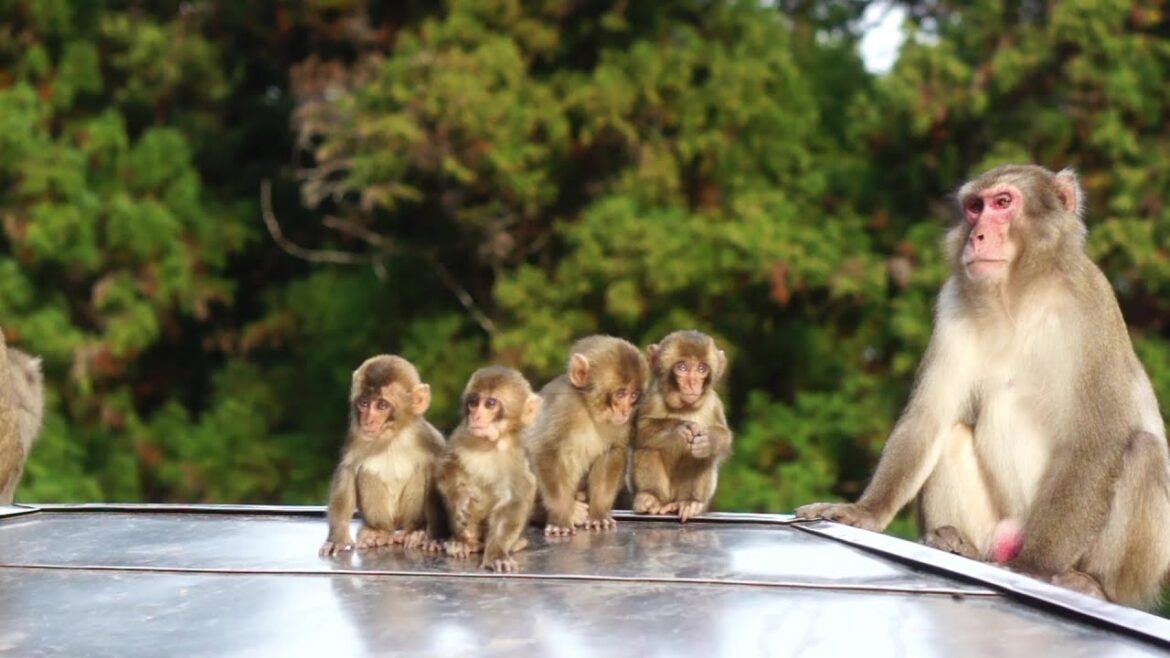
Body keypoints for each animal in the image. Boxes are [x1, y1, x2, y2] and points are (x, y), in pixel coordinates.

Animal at [319, 355, 447, 557]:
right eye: (364, 403)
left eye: (382, 405)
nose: (368, 420)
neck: (392, 436)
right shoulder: (357, 436)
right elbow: (348, 470)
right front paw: (337, 538)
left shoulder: (428, 437)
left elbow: (437, 471)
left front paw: (436, 536)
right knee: (366, 471)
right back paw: (378, 532)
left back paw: (414, 531)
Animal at [436, 366, 540, 572]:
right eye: (473, 402)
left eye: (490, 404)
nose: (475, 416)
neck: (491, 443)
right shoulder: (462, 434)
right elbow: (448, 463)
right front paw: (458, 495)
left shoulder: (518, 455)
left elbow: (516, 498)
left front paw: (497, 553)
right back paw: (464, 541)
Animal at [525, 335, 649, 536]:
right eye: (620, 394)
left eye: (633, 396)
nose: (624, 411)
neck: (588, 408)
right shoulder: (563, 404)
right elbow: (544, 449)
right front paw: (561, 516)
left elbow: (613, 451)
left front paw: (599, 514)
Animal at [631, 330, 732, 523]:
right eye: (682, 367)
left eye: (701, 369)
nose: (692, 383)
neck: (684, 407)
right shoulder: (652, 397)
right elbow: (638, 430)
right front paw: (680, 428)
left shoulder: (714, 403)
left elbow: (724, 438)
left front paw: (708, 440)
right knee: (649, 447)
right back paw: (650, 497)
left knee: (702, 457)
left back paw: (689, 502)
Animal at [796, 164, 1170, 609]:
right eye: (975, 207)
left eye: (1003, 202)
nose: (976, 236)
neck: (1018, 297)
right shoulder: (953, 303)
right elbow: (929, 418)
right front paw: (864, 511)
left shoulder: (1092, 305)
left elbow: (1095, 443)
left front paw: (1032, 567)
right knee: (953, 434)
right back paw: (958, 543)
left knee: (1142, 451)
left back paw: (1093, 584)